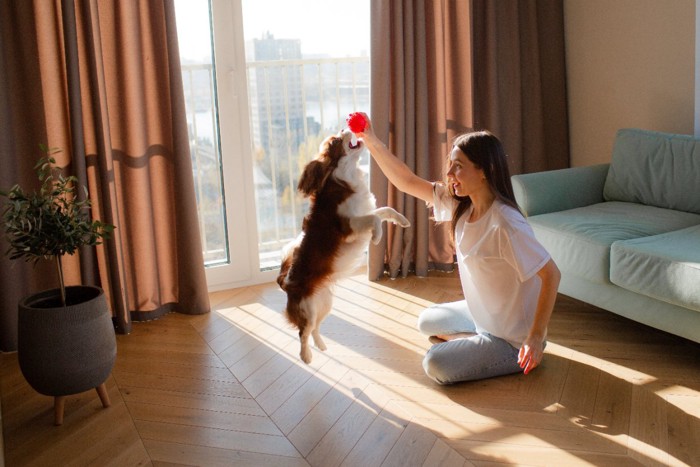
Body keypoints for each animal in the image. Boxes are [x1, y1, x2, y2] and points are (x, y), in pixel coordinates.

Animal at [278, 129, 410, 366]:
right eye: (337, 141)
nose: (345, 128)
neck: (347, 175)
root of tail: (285, 283)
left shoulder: (364, 213)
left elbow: (385, 210)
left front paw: (402, 220)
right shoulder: (349, 226)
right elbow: (375, 220)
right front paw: (377, 237)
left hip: (325, 303)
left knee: (315, 329)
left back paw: (321, 345)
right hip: (308, 309)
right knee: (303, 331)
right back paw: (306, 356)